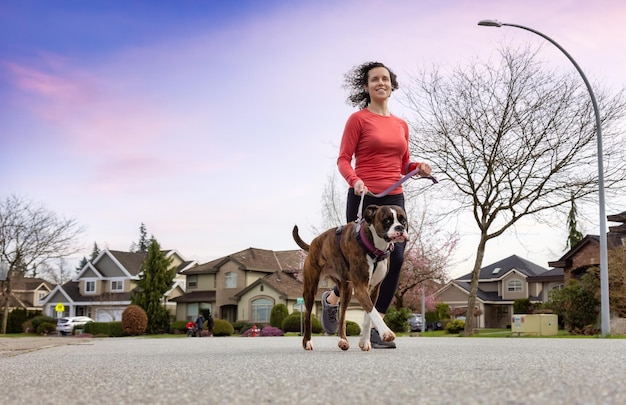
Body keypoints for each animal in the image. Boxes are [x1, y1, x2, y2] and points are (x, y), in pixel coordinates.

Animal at [292, 204, 408, 348]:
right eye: (387, 220)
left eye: (403, 220)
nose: (400, 228)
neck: (375, 247)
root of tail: (314, 242)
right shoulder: (360, 288)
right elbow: (373, 311)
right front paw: (386, 333)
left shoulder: (374, 289)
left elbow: (369, 315)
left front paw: (365, 341)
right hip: (310, 288)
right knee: (307, 315)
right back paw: (307, 341)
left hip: (346, 289)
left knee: (342, 316)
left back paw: (343, 340)